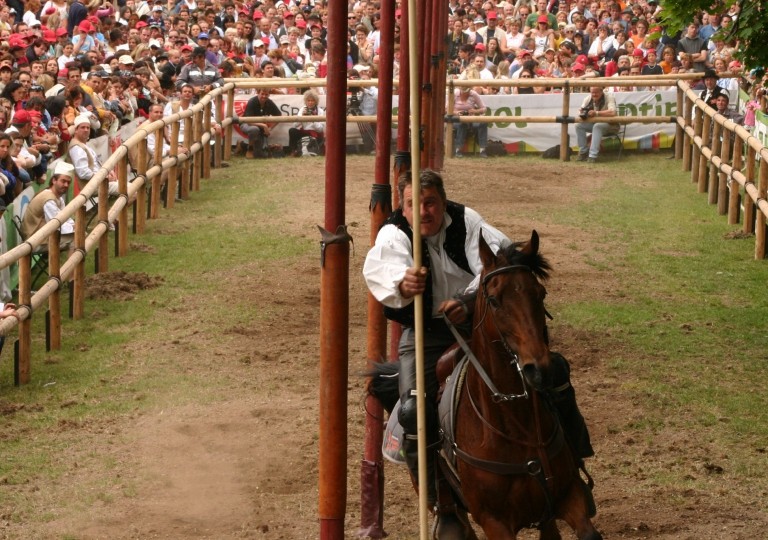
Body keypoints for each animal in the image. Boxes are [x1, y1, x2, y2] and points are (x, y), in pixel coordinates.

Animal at [369, 230, 602, 540]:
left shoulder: (567, 497)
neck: (517, 426)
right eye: (493, 299)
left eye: (540, 293)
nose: (538, 369)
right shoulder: (494, 522)